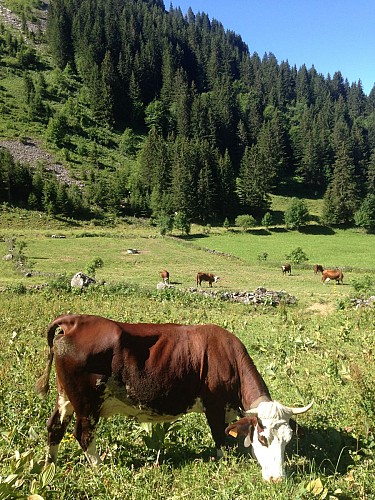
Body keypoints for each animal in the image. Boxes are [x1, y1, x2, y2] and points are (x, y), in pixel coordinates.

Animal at [36, 314, 314, 482]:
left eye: (288, 440)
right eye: (263, 439)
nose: (277, 479)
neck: (227, 357)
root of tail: (73, 321)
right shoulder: (213, 406)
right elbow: (219, 437)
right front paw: (223, 462)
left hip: (65, 398)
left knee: (54, 428)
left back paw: (50, 466)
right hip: (87, 404)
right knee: (82, 434)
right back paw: (98, 468)